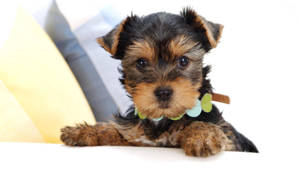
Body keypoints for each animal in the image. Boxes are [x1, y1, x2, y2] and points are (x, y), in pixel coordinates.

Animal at [60, 6, 258, 157]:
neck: (163, 119)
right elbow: (117, 131)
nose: (163, 92)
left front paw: (203, 136)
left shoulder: (232, 141)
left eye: (183, 61)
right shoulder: (138, 138)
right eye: (141, 62)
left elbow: (204, 125)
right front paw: (83, 131)